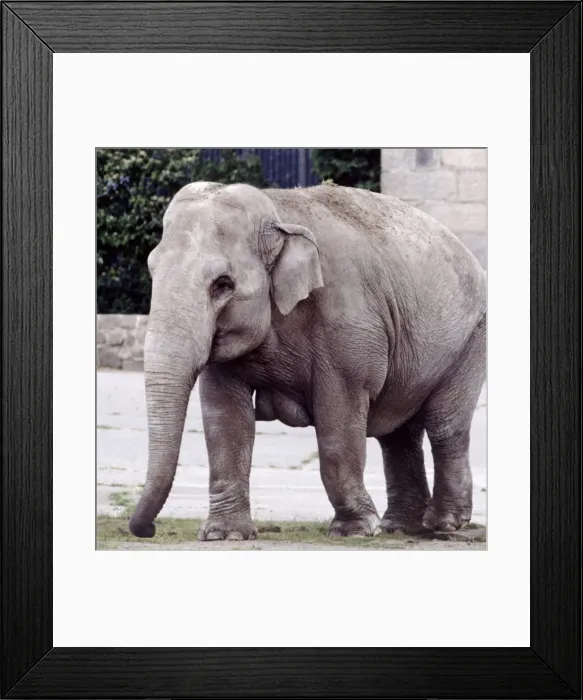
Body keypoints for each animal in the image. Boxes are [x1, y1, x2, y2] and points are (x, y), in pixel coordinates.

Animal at [128, 181, 486, 540]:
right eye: (151, 270)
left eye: (223, 284)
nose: (147, 529)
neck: (277, 211)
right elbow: (224, 419)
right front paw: (224, 535)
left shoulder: (348, 324)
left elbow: (338, 419)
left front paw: (355, 530)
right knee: (399, 434)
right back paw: (400, 527)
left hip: (470, 341)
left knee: (444, 426)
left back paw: (444, 524)